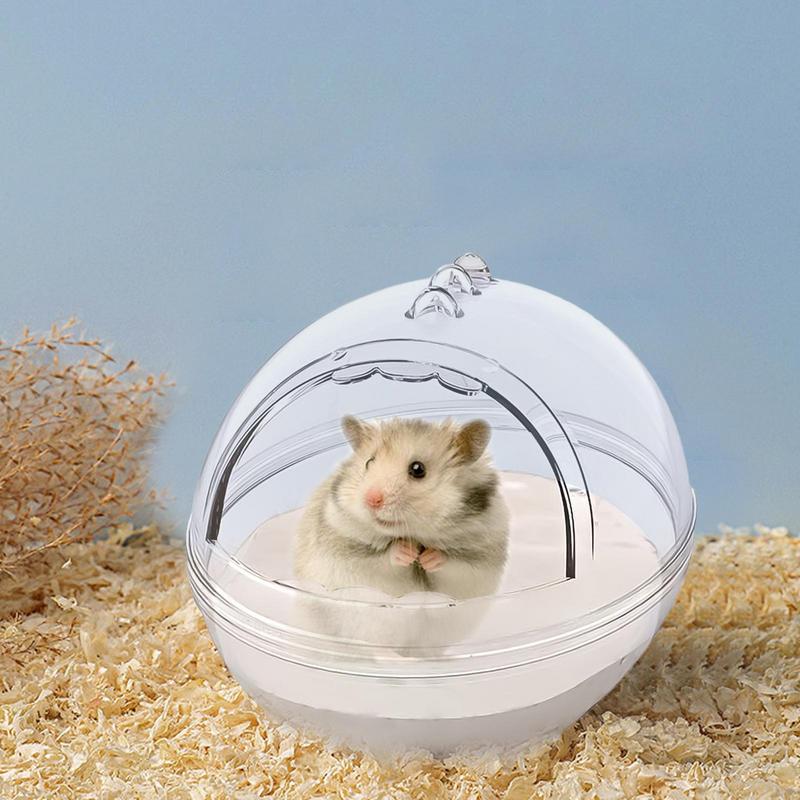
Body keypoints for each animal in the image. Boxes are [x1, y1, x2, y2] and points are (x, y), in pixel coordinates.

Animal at [293, 415, 510, 602]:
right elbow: (382, 559)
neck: (414, 535)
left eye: (418, 469)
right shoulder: (348, 553)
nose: (371, 500)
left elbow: (452, 564)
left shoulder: (479, 562)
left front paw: (428, 558)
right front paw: (406, 552)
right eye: (369, 462)